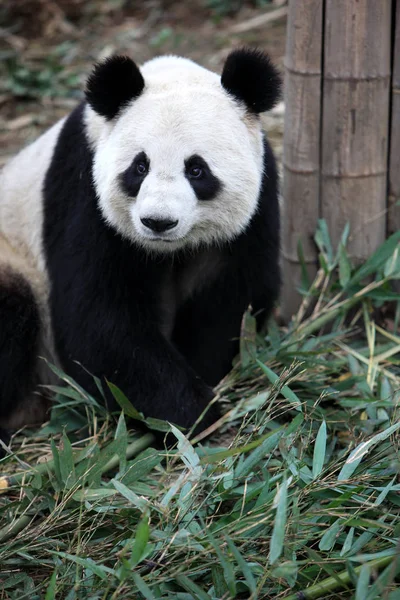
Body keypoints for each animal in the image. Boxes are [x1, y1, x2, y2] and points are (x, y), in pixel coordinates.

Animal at [0, 48, 282, 446]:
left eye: (196, 170)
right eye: (139, 167)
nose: (158, 222)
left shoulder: (256, 203)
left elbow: (231, 299)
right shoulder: (84, 188)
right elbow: (99, 319)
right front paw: (193, 415)